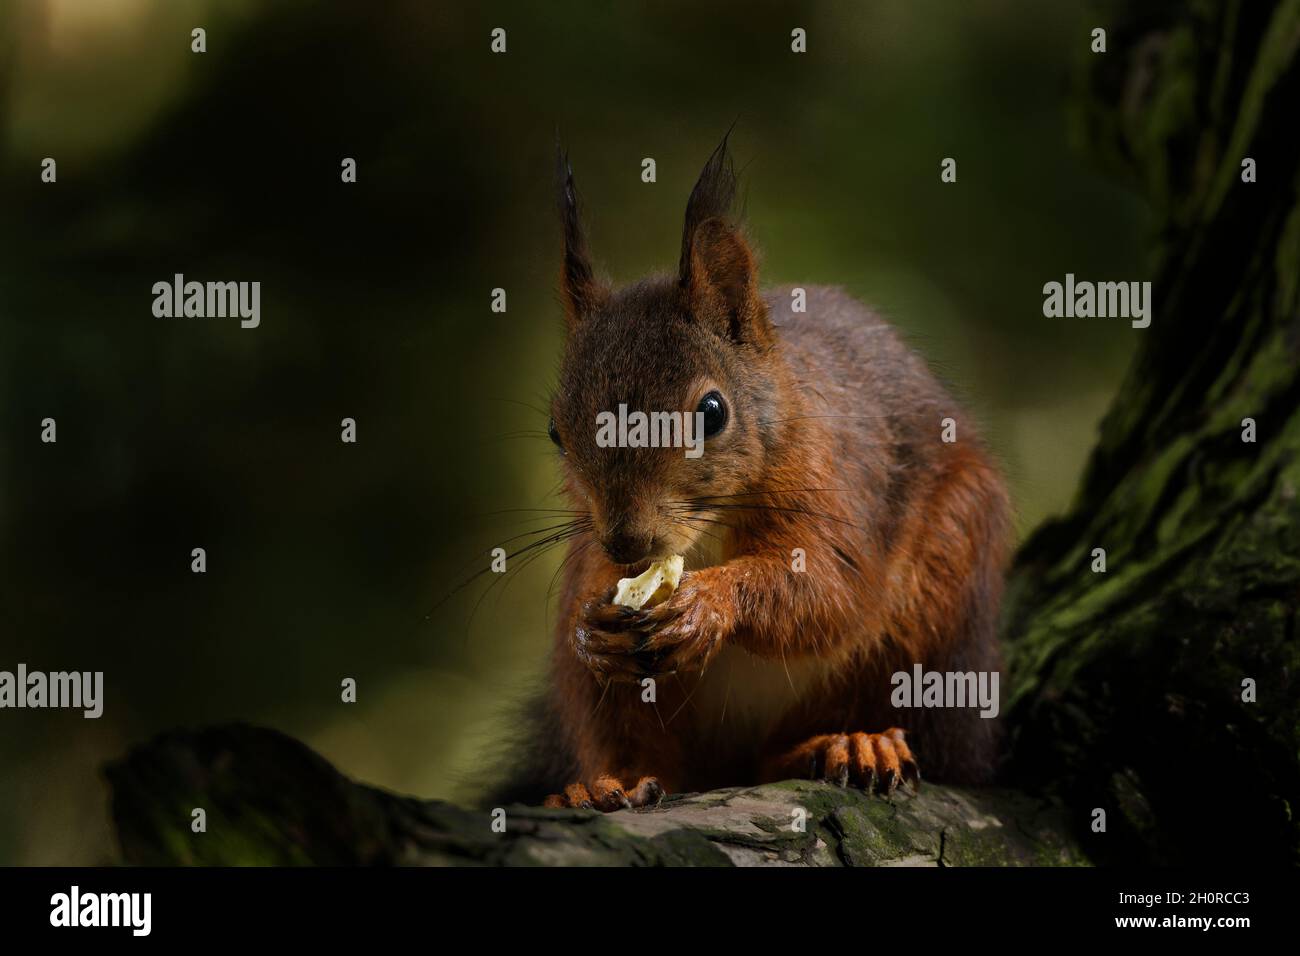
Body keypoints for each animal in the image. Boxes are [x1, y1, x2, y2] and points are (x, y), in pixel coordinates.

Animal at [488, 134, 1011, 811]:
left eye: (713, 412)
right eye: (556, 430)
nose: (627, 542)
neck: (706, 535)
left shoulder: (836, 488)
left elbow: (831, 590)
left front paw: (708, 602)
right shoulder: (589, 551)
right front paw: (590, 626)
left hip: (940, 597)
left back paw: (852, 743)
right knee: (633, 740)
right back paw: (607, 784)